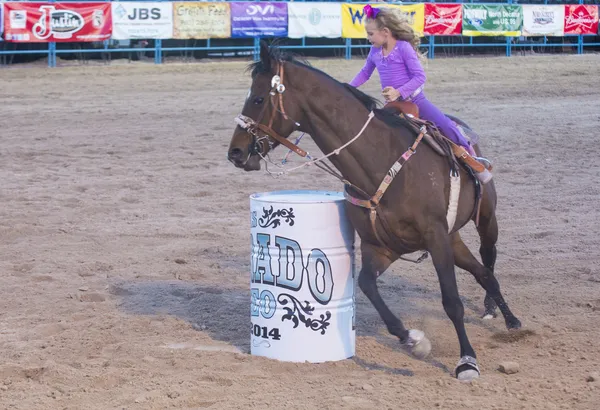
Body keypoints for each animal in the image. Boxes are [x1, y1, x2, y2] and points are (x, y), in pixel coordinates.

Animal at [227, 41, 516, 382]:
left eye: (258, 98)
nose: (235, 152)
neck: (380, 161)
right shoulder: (380, 246)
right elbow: (367, 285)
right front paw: (413, 340)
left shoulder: (435, 237)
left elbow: (452, 302)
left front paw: (467, 361)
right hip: (453, 239)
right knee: (483, 273)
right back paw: (504, 316)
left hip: (485, 219)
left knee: (489, 257)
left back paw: (504, 316)